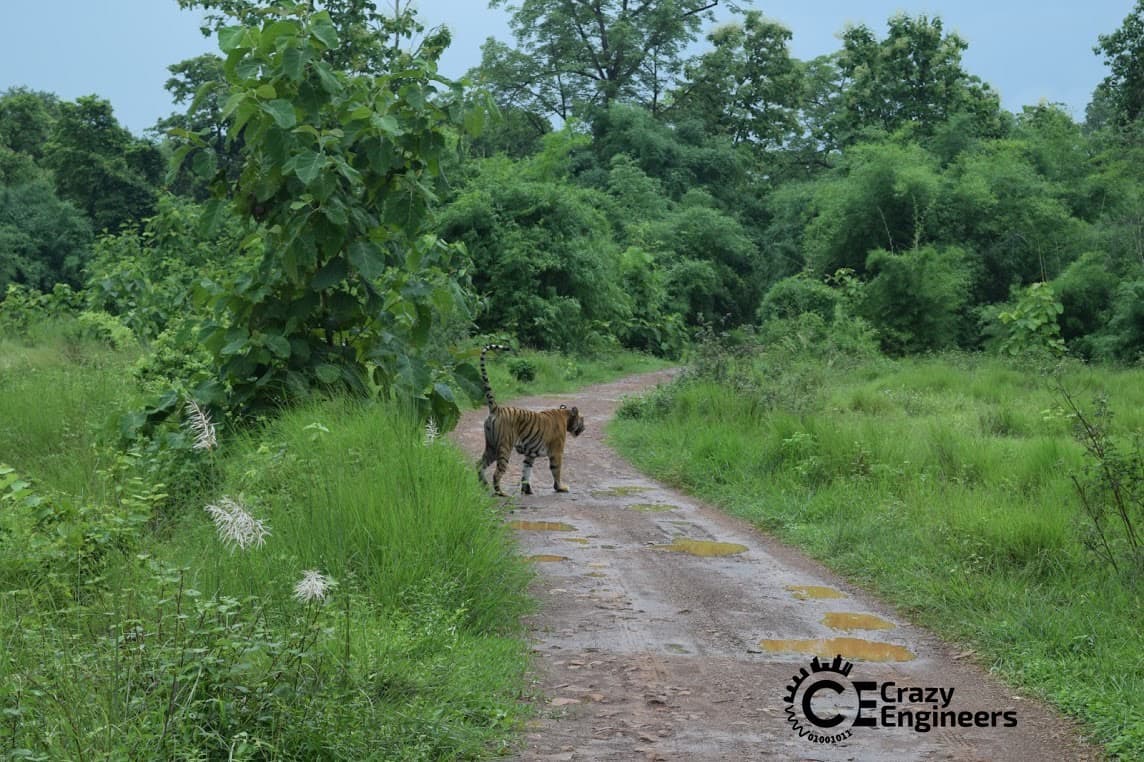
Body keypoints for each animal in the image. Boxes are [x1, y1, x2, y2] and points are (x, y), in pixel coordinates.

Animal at [475, 343, 585, 496]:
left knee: (479, 464)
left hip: (491, 446)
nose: (584, 427)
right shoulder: (557, 452)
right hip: (504, 447)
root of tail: (496, 409)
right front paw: (560, 488)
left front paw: (527, 490)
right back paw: (500, 492)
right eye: (582, 420)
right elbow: (556, 471)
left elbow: (526, 472)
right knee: (497, 473)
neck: (565, 414)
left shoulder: (530, 455)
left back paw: (484, 486)